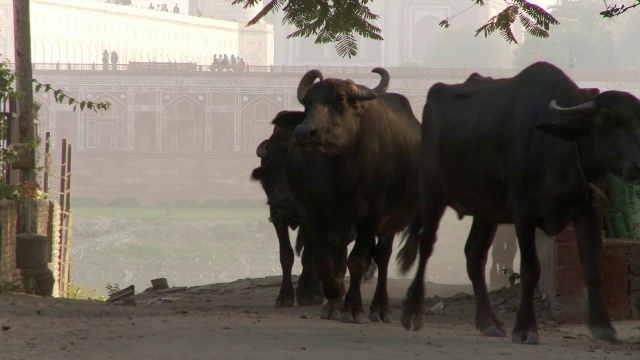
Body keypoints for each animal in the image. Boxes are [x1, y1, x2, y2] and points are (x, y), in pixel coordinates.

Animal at [274, 67, 420, 324]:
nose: (303, 133)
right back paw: (333, 306)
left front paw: (353, 308)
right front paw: (335, 293)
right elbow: (323, 260)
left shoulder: (373, 215)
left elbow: (358, 261)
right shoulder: (315, 213)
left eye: (340, 98)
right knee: (338, 255)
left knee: (382, 257)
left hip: (389, 222)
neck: (343, 176)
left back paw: (380, 308)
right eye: (307, 102)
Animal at [398, 61, 636, 344]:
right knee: (426, 244)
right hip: (431, 190)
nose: (638, 165)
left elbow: (592, 267)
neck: (559, 146)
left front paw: (603, 326)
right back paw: (413, 312)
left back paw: (488, 322)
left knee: (474, 254)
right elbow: (531, 269)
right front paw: (525, 328)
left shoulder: (588, 209)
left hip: (487, 209)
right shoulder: (523, 213)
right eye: (607, 118)